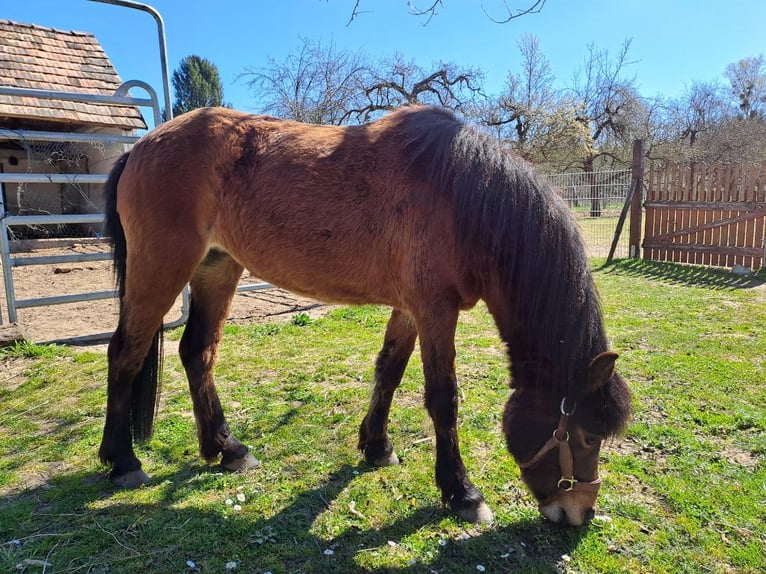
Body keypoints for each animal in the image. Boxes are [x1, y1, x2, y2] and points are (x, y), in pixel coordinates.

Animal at [98, 105, 631, 526]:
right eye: (585, 434)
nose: (580, 513)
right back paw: (123, 460)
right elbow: (443, 399)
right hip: (161, 266)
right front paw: (461, 492)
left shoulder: (411, 309)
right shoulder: (435, 310)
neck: (462, 197)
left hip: (217, 266)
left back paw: (226, 449)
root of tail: (141, 147)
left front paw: (376, 446)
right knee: (125, 353)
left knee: (197, 353)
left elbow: (389, 371)